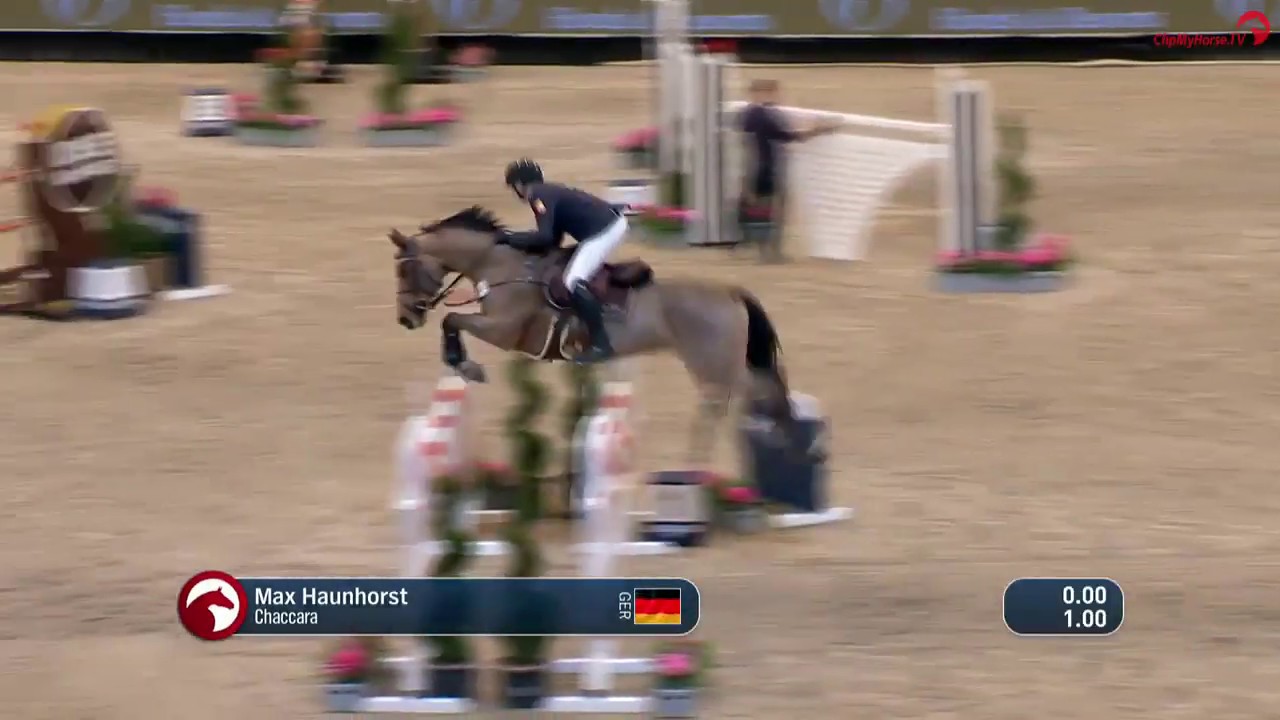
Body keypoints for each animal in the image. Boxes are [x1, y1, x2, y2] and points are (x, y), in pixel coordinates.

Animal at [390, 206, 809, 461]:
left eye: (405, 270)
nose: (405, 319)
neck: (502, 265)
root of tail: (731, 292)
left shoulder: (504, 331)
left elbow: (452, 321)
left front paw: (468, 367)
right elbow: (452, 322)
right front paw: (463, 365)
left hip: (713, 366)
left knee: (755, 392)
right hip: (718, 367)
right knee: (762, 387)